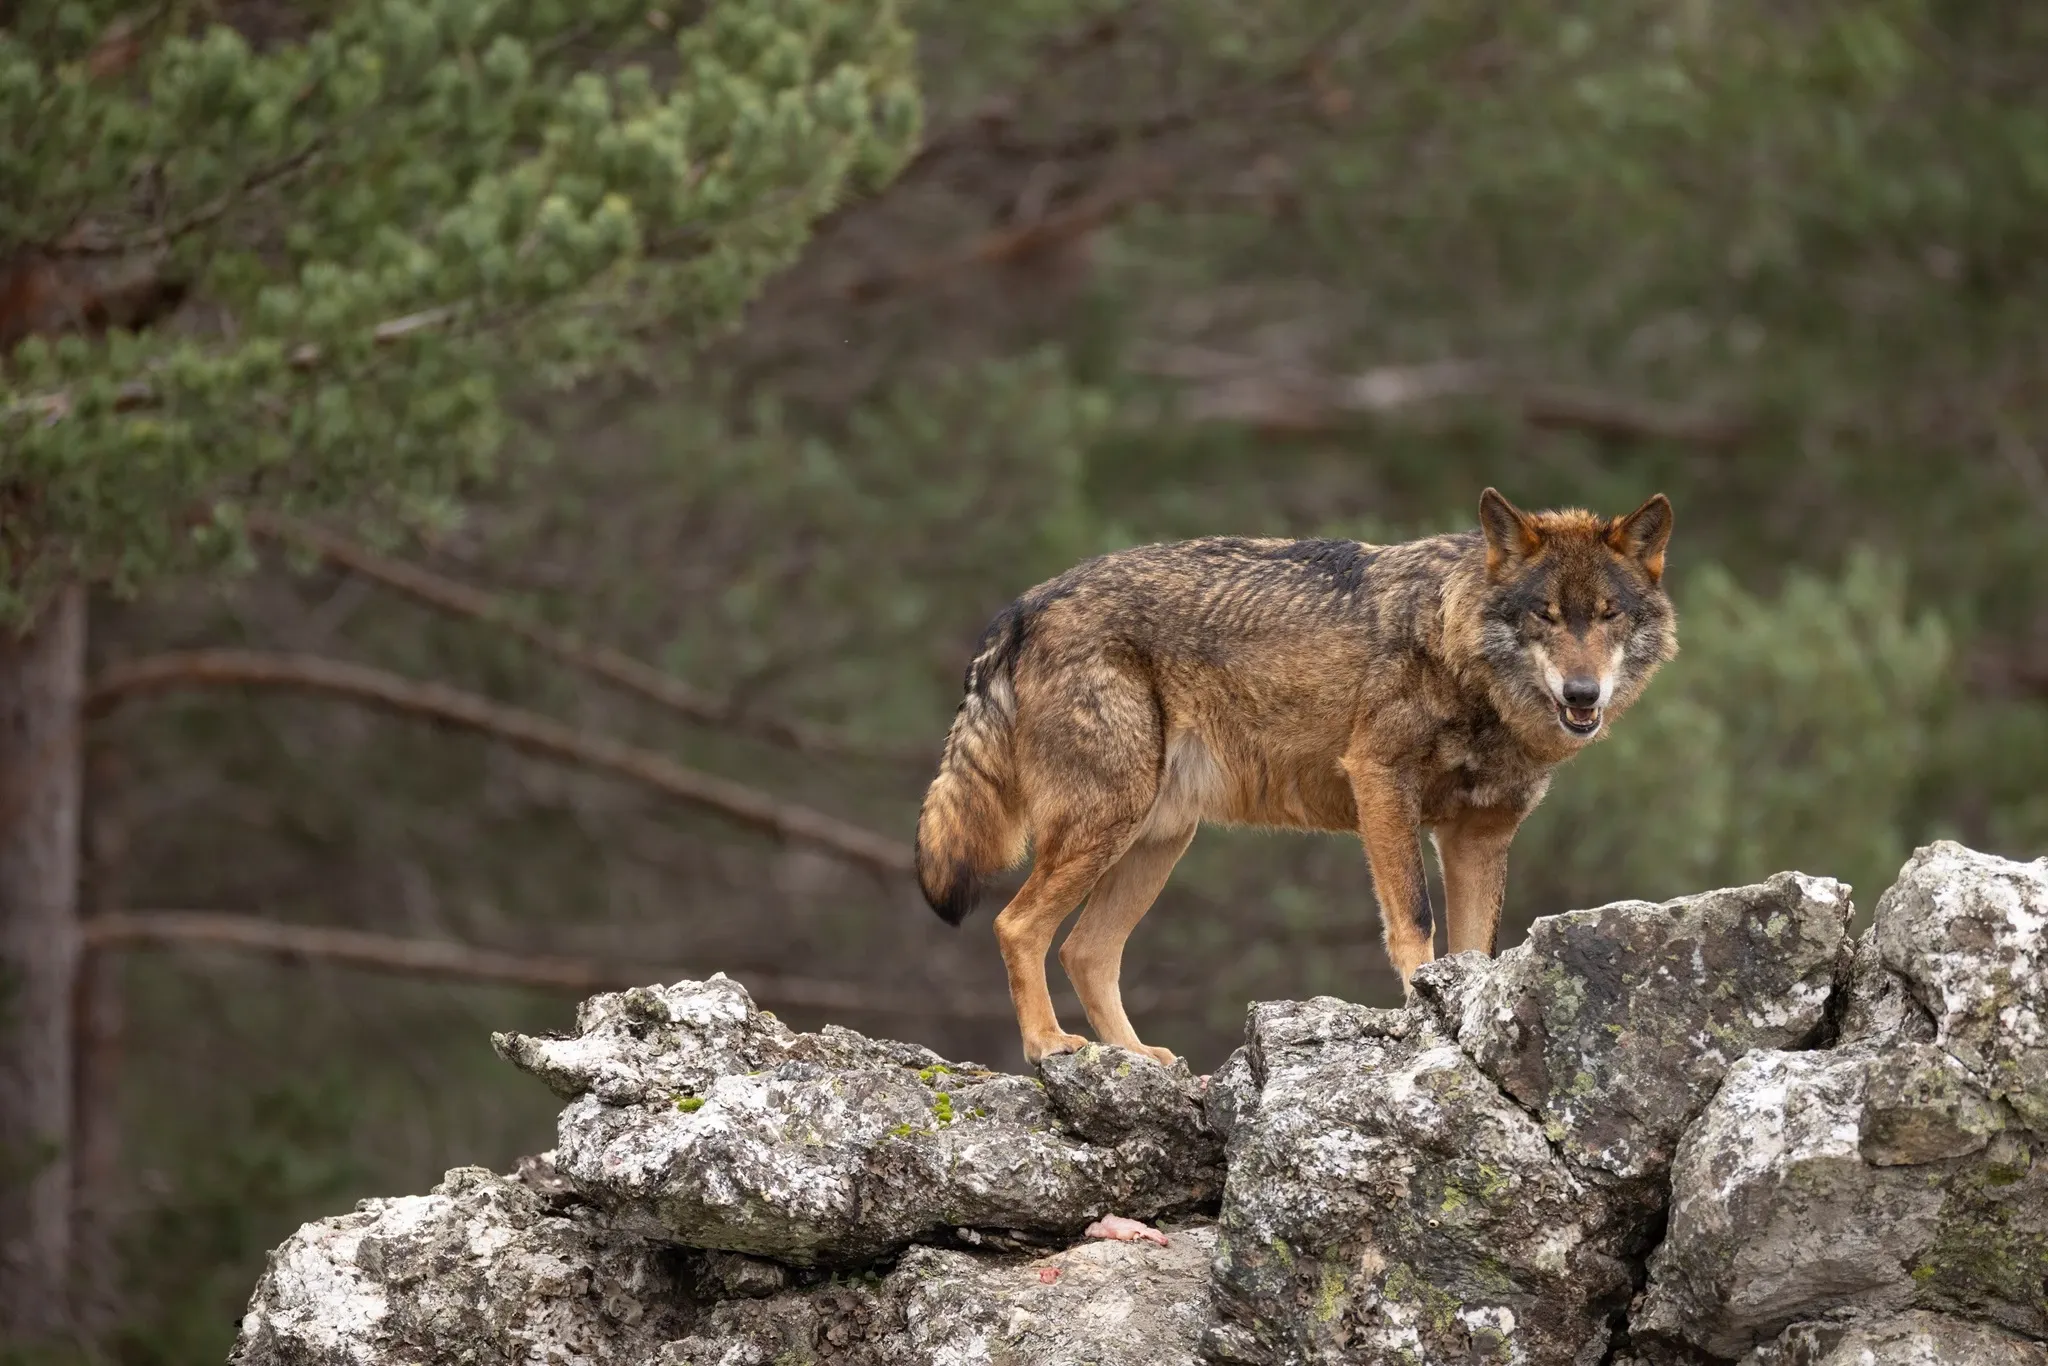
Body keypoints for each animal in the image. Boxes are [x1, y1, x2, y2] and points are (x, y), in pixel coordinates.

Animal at [915, 488, 1677, 1067]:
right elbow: (1415, 921)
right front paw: (1421, 1018)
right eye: (1544, 616)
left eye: (1607, 616)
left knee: (1085, 951)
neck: (1456, 650)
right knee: (1017, 926)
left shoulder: (1479, 837)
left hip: (1156, 843)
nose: (1582, 694)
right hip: (1108, 825)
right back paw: (1048, 1045)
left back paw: (1138, 1059)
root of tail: (1025, 605)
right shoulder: (1381, 783)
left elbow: (1477, 951)